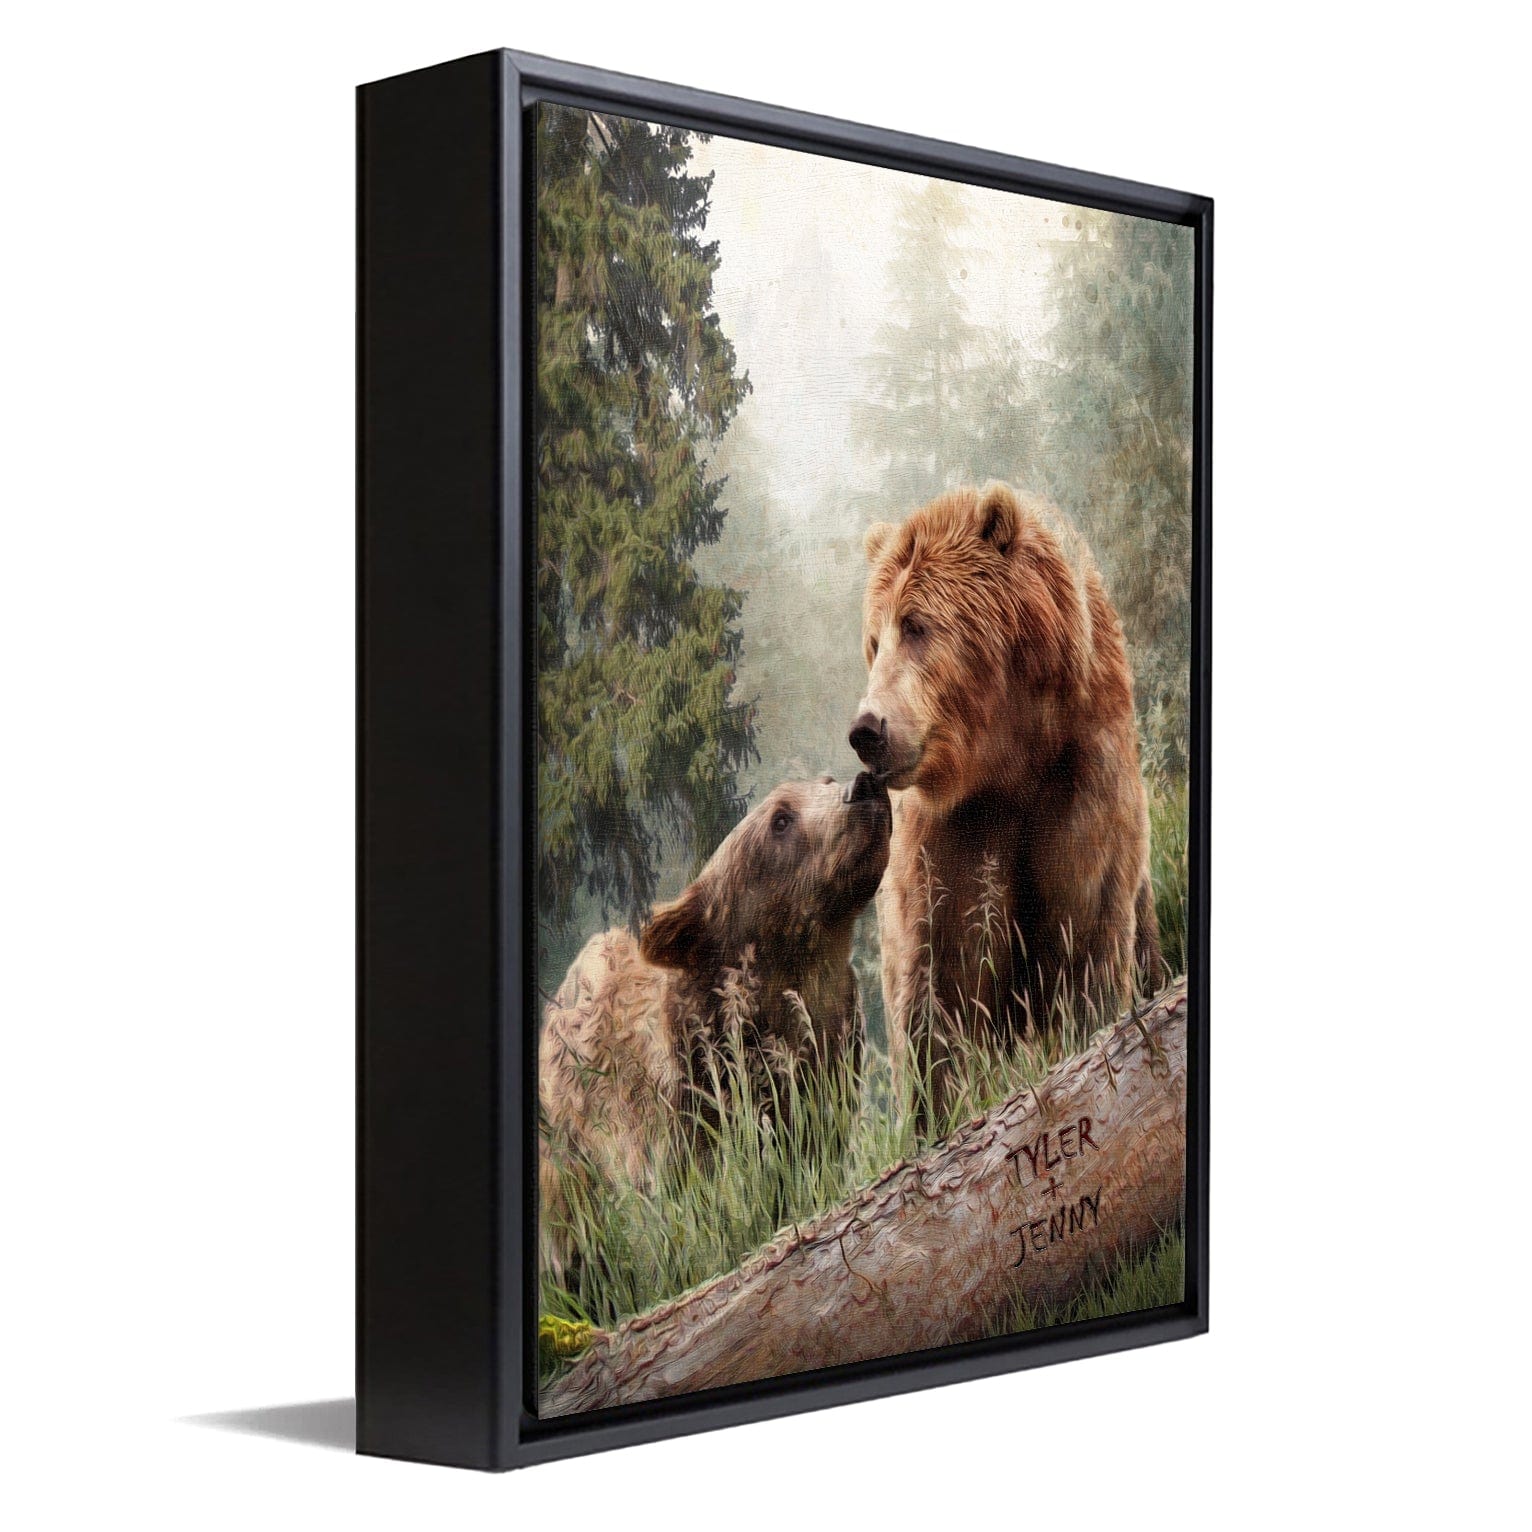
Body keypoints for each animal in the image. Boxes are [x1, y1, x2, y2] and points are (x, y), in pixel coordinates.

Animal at [538, 770, 891, 1279]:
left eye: (823, 782)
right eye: (780, 819)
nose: (861, 784)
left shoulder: (828, 1060)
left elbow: (813, 1147)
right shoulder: (684, 1096)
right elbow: (692, 1192)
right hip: (572, 1133)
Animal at [849, 481, 1159, 1131]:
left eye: (916, 625)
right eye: (874, 640)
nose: (868, 729)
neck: (1006, 752)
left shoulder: (1079, 773)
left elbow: (1084, 930)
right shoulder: (949, 831)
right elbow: (941, 978)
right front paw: (940, 1113)